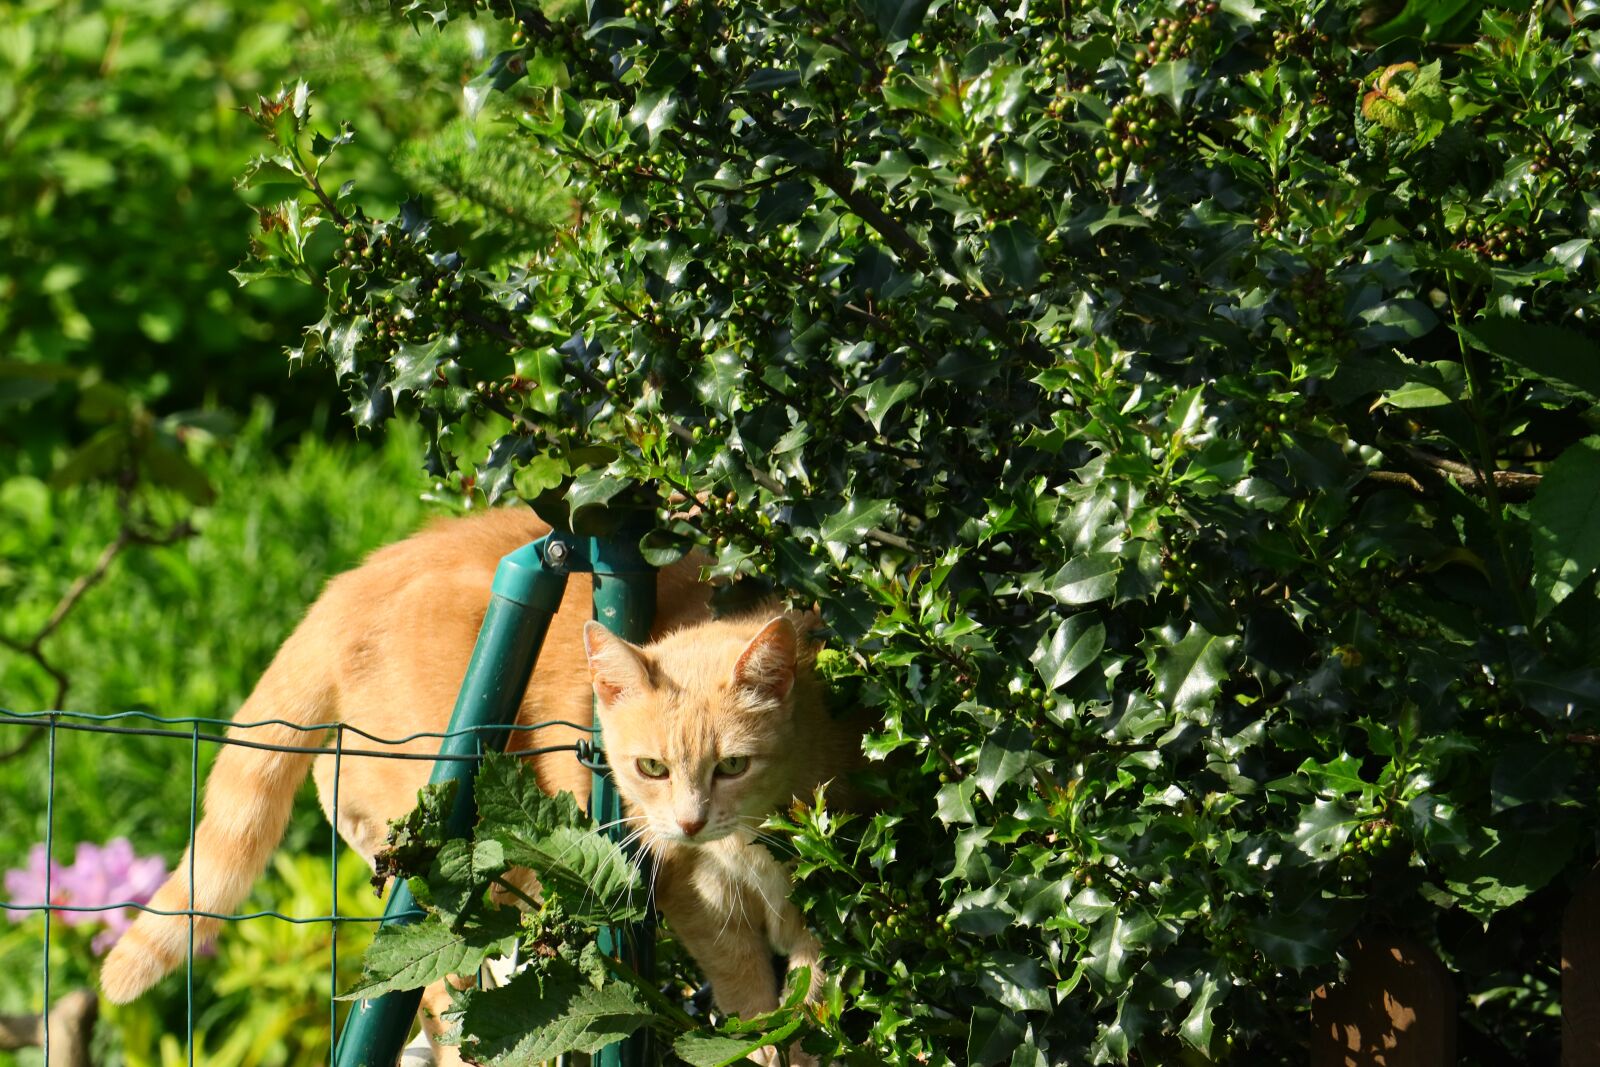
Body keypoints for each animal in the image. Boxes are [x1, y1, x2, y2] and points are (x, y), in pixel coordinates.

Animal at [93, 508, 857, 1062]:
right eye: (651, 769)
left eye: (732, 765)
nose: (689, 823)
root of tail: (353, 579)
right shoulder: (701, 903)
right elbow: (755, 1010)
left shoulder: (827, 910)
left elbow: (814, 1005)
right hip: (464, 864)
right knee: (442, 999)